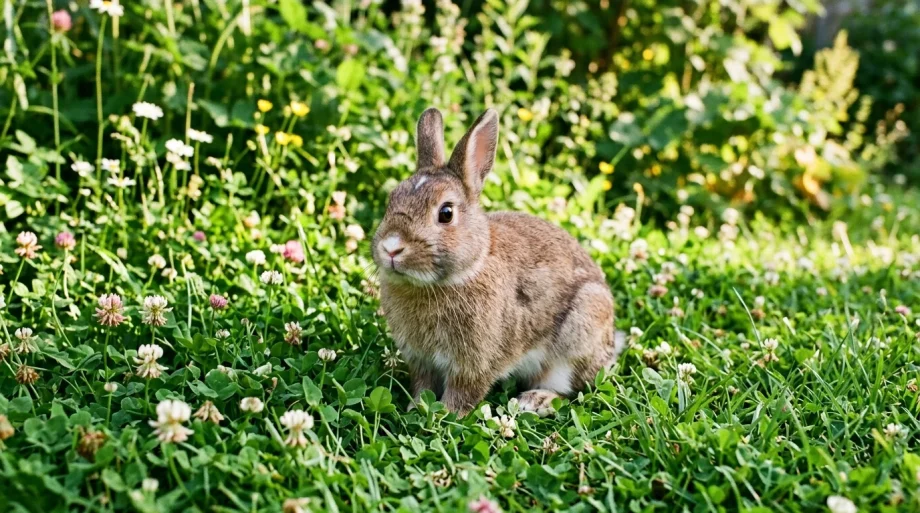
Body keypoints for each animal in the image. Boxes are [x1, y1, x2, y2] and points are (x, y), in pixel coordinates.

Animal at [372, 107, 626, 417]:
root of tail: (610, 345)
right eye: (391, 200)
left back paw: (535, 400)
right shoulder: (422, 361)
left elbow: (463, 392)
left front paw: (445, 414)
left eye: (446, 213)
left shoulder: (475, 363)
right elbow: (424, 385)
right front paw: (416, 406)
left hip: (579, 332)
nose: (391, 247)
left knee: (573, 390)